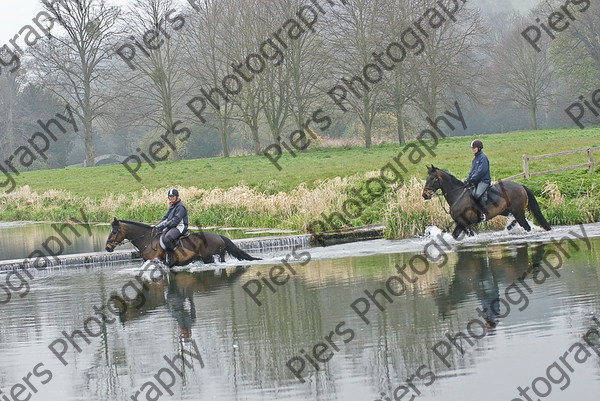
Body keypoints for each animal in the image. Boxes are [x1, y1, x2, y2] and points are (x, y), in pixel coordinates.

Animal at [420, 165, 552, 238]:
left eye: (433, 178)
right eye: (427, 178)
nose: (425, 195)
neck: (457, 195)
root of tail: (521, 186)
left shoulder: (464, 222)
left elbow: (470, 234)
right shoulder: (460, 222)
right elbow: (454, 235)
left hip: (517, 211)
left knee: (526, 226)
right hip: (507, 210)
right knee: (518, 220)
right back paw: (510, 226)